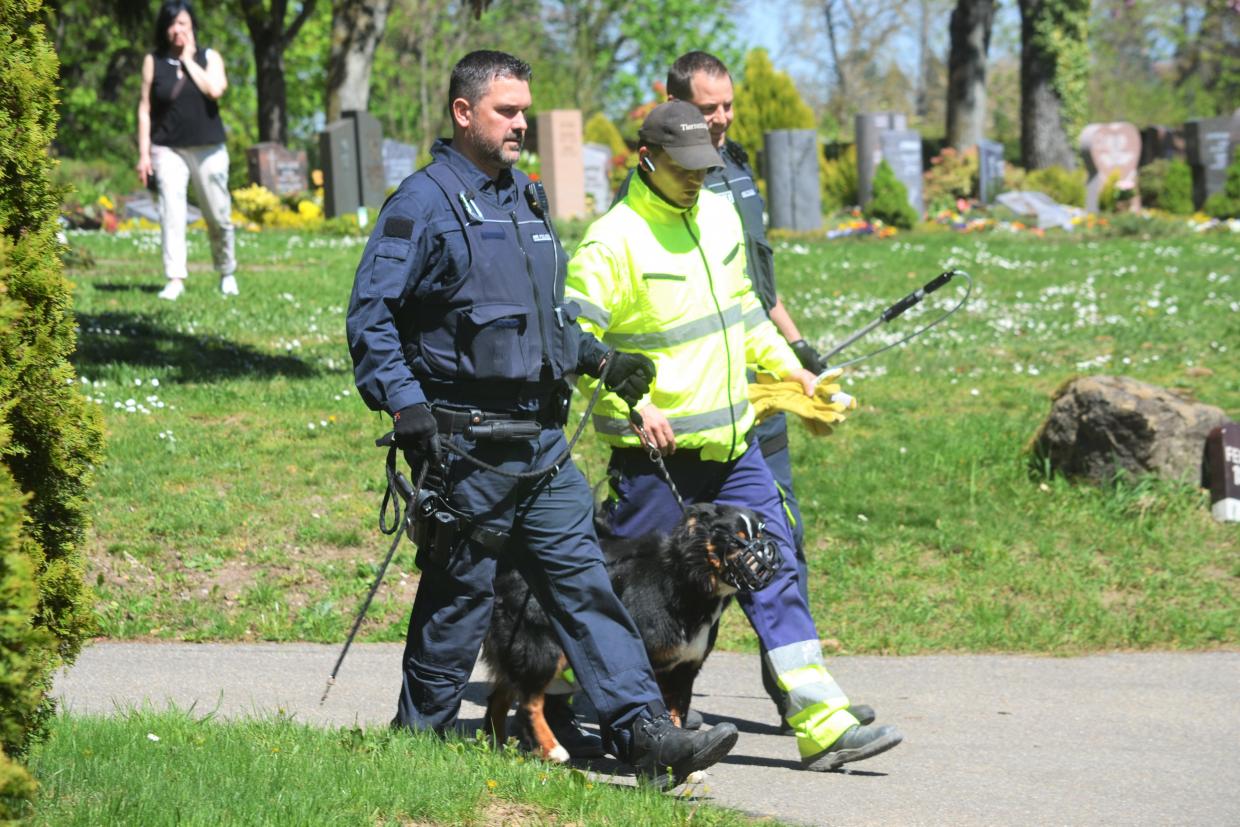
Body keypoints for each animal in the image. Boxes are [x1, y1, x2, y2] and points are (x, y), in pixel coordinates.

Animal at [481, 498, 778, 763]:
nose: (768, 558)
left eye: (760, 534)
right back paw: (552, 749)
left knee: (499, 698)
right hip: (542, 649)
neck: (688, 579)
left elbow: (677, 714)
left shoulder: (685, 669)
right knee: (529, 703)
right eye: (736, 540)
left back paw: (496, 749)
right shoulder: (650, 659)